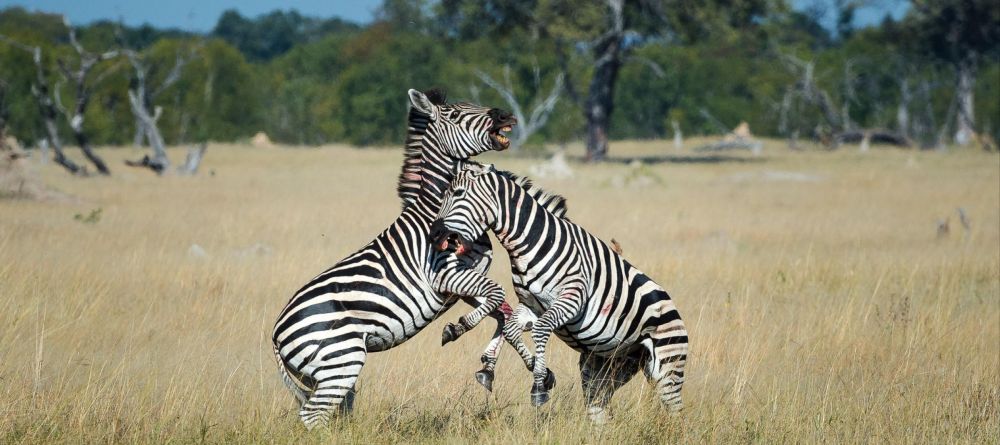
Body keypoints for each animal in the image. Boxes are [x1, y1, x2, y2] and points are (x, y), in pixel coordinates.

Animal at [270, 88, 544, 428]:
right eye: (455, 114)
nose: (506, 115)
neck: (436, 209)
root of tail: (276, 335)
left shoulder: (463, 286)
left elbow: (502, 312)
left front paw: (524, 367)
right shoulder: (446, 275)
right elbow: (496, 297)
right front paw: (458, 329)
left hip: (324, 373)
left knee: (335, 409)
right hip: (342, 358)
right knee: (313, 415)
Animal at [430, 161, 688, 422]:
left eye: (458, 193)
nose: (434, 234)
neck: (532, 243)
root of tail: (672, 306)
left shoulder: (572, 299)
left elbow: (540, 328)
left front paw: (538, 387)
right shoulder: (531, 304)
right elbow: (510, 328)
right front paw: (459, 329)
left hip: (667, 365)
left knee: (675, 410)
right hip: (606, 368)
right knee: (600, 412)